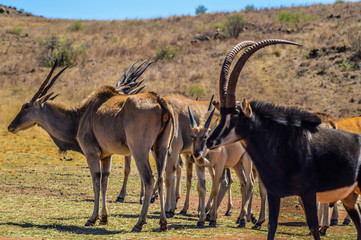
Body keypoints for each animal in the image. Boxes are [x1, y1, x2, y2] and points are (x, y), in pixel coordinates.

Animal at [6, 61, 173, 232]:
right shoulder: (106, 156)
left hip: (139, 151)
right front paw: (104, 218)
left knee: (149, 179)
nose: (11, 126)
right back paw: (163, 223)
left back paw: (139, 223)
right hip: (160, 149)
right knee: (160, 179)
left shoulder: (91, 153)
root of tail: (159, 101)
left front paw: (92, 219)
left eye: (26, 106)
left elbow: (96, 181)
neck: (80, 116)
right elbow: (105, 182)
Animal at [205, 39, 360, 240]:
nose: (209, 141)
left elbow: (312, 226)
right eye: (221, 114)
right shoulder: (274, 192)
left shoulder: (307, 193)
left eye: (236, 115)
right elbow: (272, 224)